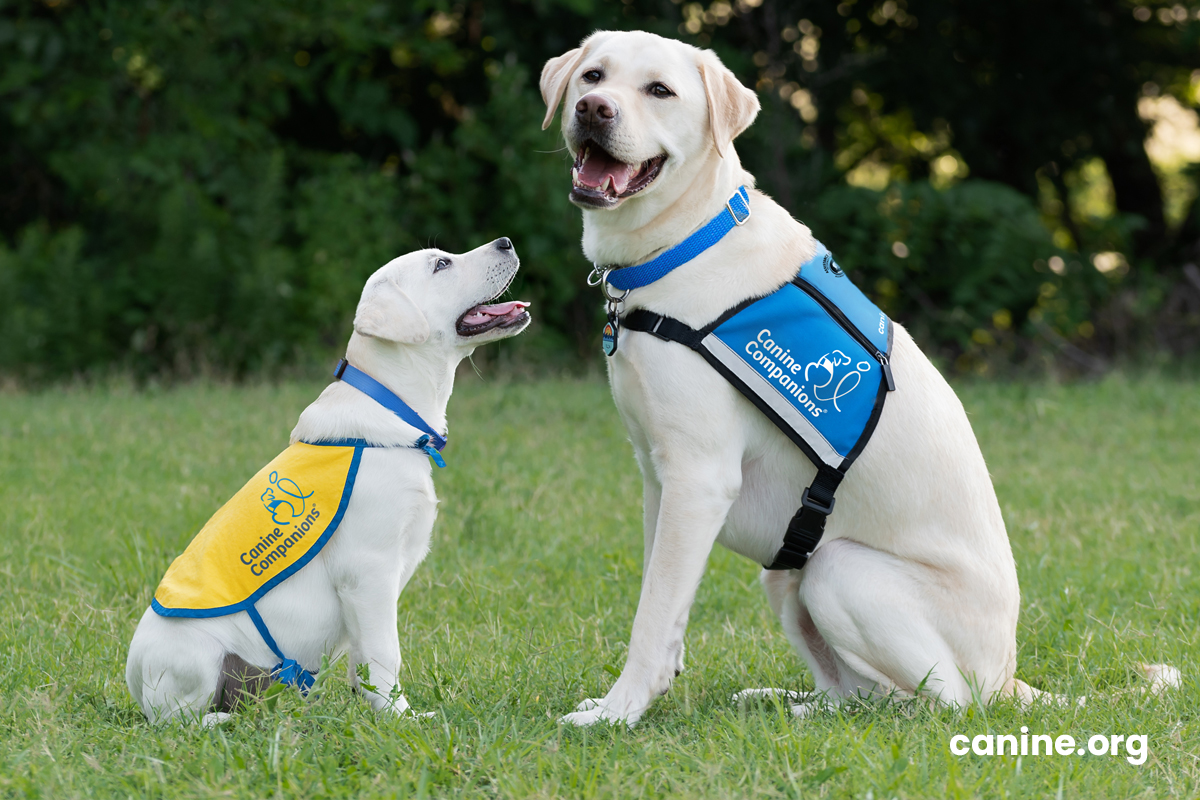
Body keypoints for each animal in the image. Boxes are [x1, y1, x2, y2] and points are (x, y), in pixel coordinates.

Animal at [540, 31, 1176, 724]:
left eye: (660, 90)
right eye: (593, 76)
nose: (594, 109)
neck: (684, 244)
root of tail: (1008, 678)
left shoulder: (697, 479)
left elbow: (652, 615)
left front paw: (617, 712)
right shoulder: (658, 477)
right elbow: (661, 600)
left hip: (838, 569)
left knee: (939, 703)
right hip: (785, 572)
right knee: (856, 694)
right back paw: (787, 703)